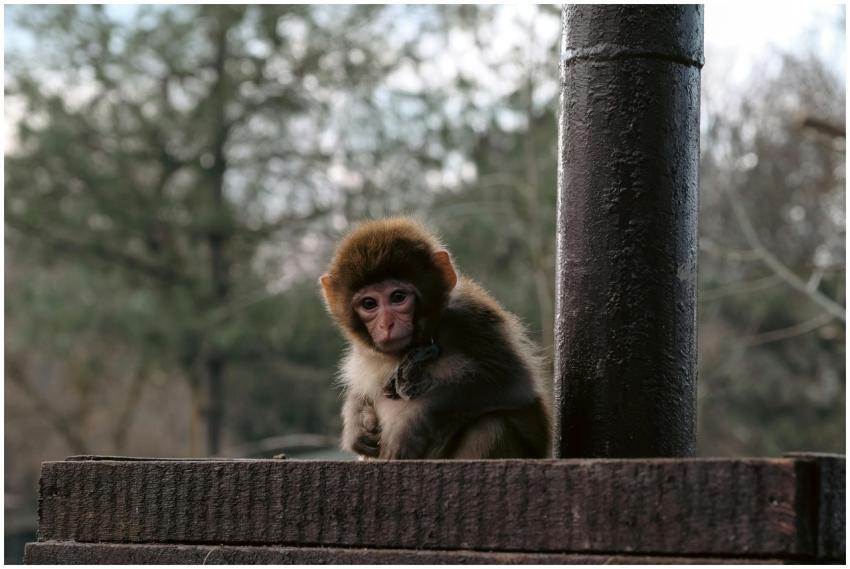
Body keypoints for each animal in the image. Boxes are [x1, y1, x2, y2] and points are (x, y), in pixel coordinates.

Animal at [320, 217, 551, 460]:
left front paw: (414, 425)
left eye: (398, 297)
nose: (386, 324)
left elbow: (514, 384)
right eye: (369, 304)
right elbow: (361, 391)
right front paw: (355, 426)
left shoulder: (471, 320)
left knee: (491, 427)